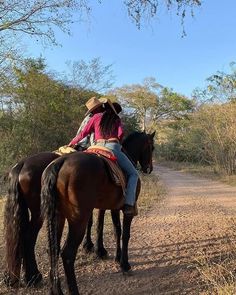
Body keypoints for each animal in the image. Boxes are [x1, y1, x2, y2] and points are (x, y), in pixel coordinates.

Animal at [3, 131, 155, 290]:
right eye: (152, 147)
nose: (149, 168)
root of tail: (22, 164)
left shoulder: (106, 206)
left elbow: (108, 227)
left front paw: (97, 249)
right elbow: (113, 229)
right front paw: (108, 254)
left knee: (25, 237)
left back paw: (26, 277)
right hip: (40, 213)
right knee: (30, 238)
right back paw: (34, 276)